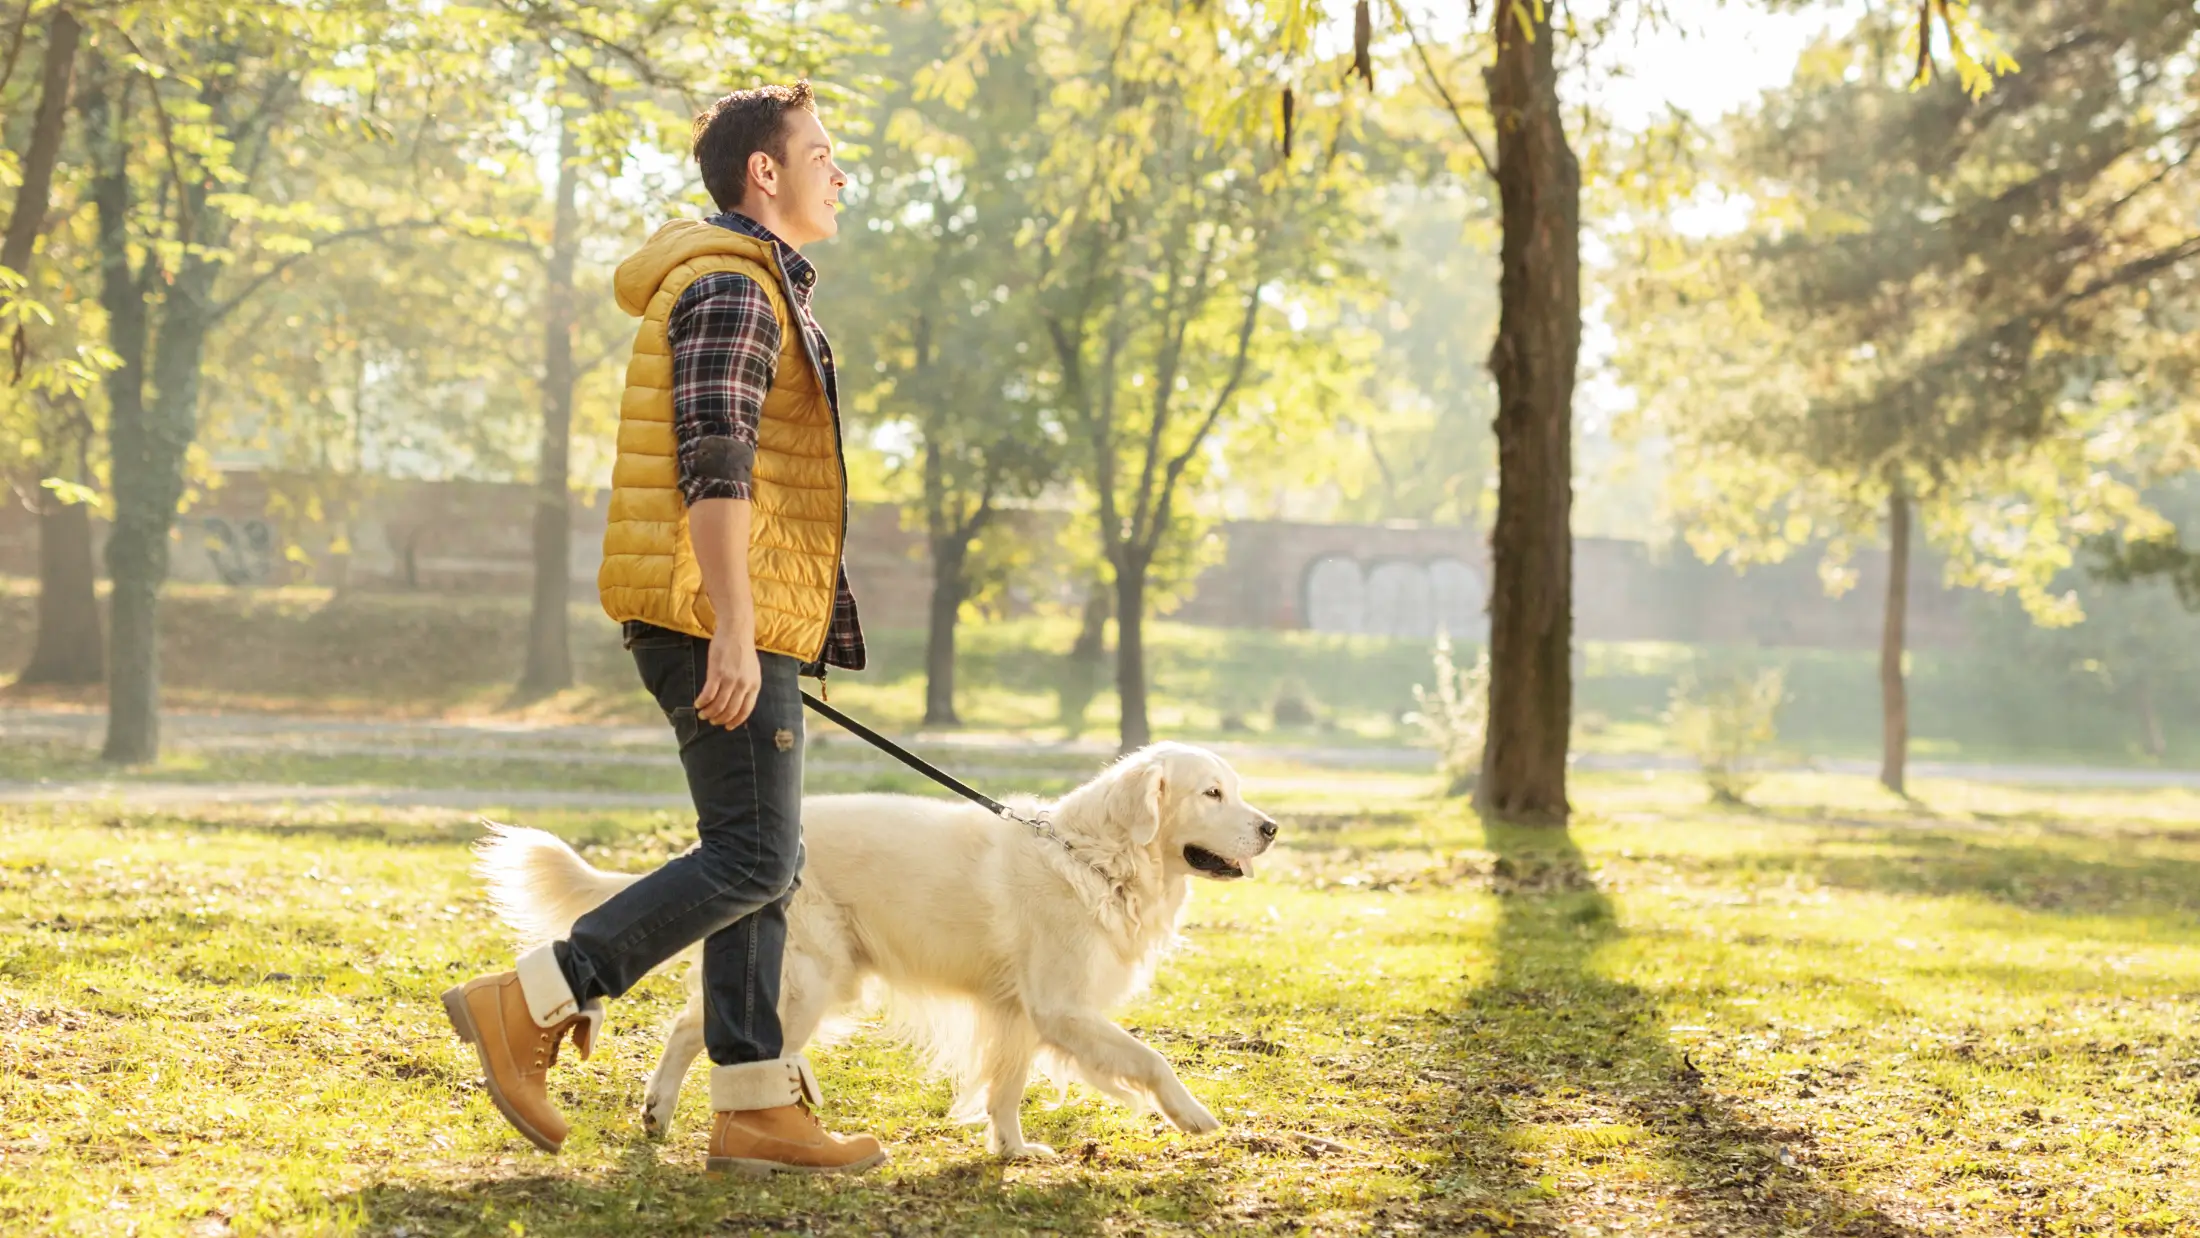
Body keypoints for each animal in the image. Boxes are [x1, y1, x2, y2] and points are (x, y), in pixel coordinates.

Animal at [473, 743, 1284, 1161]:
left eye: (1234, 789)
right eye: (1212, 794)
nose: (1272, 828)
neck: (1095, 857)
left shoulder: (1020, 1013)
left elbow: (1007, 1088)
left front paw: (1013, 1151)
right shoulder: (1061, 1007)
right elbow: (1151, 1059)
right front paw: (1193, 1115)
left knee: (692, 1027)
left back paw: (666, 1112)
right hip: (812, 979)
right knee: (707, 1035)